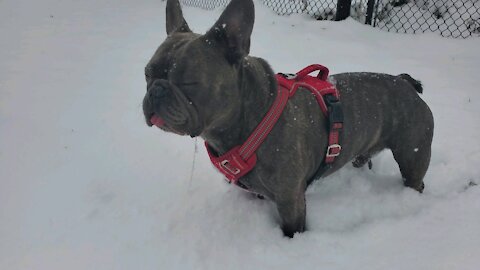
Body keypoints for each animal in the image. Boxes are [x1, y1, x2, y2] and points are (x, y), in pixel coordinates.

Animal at [143, 0, 436, 236]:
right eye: (147, 73)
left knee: (415, 179)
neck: (251, 118)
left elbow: (292, 228)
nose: (156, 89)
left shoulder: (290, 200)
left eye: (188, 81)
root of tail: (405, 82)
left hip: (412, 155)